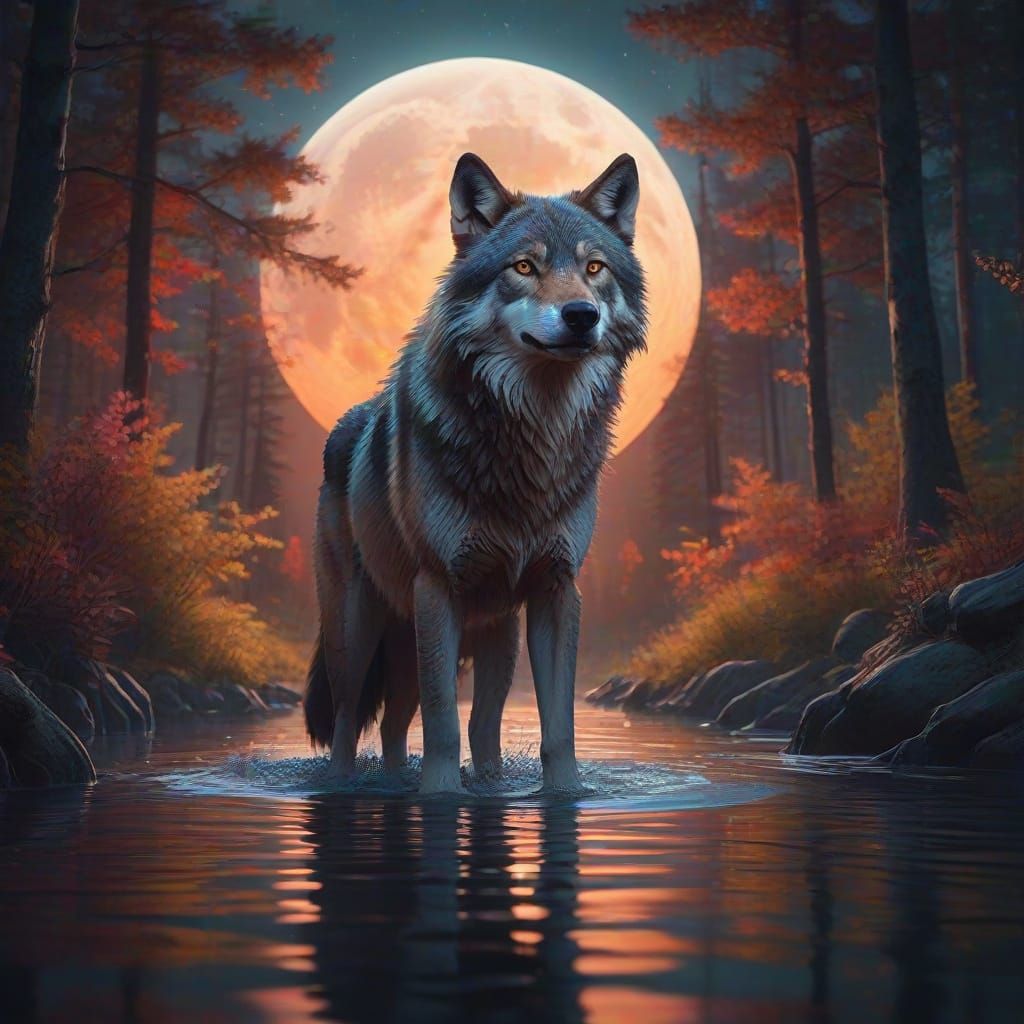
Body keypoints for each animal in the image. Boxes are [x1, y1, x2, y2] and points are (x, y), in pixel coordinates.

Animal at [304, 152, 647, 794]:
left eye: (593, 267)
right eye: (524, 266)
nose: (581, 315)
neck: (532, 435)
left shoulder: (555, 591)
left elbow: (558, 726)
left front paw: (565, 795)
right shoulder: (439, 586)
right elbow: (442, 724)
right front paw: (440, 798)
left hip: (485, 637)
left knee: (446, 727)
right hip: (359, 634)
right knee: (346, 722)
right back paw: (345, 785)